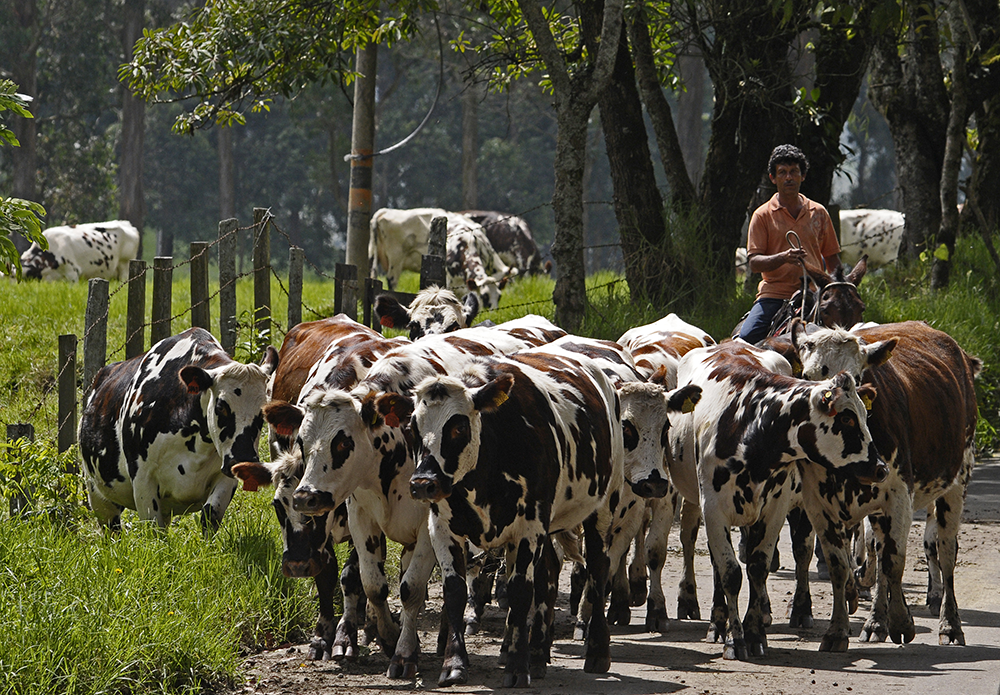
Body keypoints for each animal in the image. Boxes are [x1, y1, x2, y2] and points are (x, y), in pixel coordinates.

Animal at [78, 328, 278, 532]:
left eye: (263, 411)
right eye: (221, 406)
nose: (244, 458)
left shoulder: (226, 474)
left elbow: (210, 515)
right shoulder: (143, 480)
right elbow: (154, 529)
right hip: (98, 495)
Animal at [400, 348, 624, 692]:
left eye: (457, 428)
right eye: (413, 428)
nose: (423, 483)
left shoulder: (528, 528)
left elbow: (520, 591)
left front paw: (518, 668)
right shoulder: (443, 528)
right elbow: (455, 592)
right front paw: (454, 665)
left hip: (603, 506)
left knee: (598, 571)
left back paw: (597, 652)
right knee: (548, 574)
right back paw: (539, 653)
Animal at [664, 346, 884, 660]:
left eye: (865, 415)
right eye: (846, 419)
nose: (880, 468)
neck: (753, 428)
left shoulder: (775, 507)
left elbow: (758, 566)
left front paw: (755, 633)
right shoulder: (714, 509)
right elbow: (730, 572)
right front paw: (734, 639)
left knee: (800, 552)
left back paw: (797, 610)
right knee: (718, 563)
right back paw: (718, 623)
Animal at [784, 322, 980, 652]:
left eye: (857, 378)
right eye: (808, 377)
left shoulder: (898, 494)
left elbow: (894, 560)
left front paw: (901, 622)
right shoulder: (818, 504)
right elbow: (839, 565)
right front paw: (839, 630)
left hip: (956, 481)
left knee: (945, 550)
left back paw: (950, 625)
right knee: (877, 550)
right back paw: (876, 620)